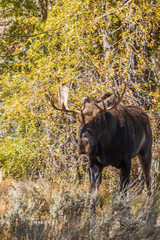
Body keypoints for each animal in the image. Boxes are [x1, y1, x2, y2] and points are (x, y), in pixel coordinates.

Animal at [47, 84, 152, 212]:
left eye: (97, 118)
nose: (83, 145)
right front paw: (91, 214)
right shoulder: (95, 162)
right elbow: (93, 191)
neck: (107, 146)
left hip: (146, 152)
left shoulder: (126, 161)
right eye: (80, 118)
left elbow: (122, 189)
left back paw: (148, 207)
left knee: (147, 179)